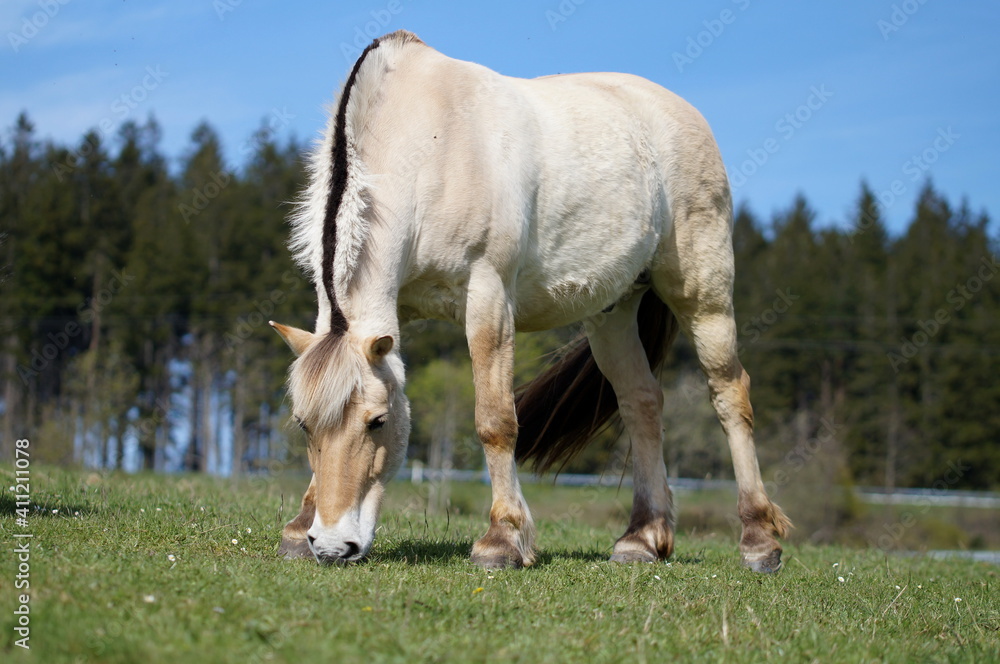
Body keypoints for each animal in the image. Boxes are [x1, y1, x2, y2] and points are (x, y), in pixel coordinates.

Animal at [269, 30, 791, 572]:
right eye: (303, 425)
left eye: (378, 421)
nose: (333, 545)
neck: (429, 143)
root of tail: (682, 111)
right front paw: (299, 529)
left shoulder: (488, 299)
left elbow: (495, 420)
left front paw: (502, 539)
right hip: (613, 312)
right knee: (641, 402)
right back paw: (642, 539)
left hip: (703, 295)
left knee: (730, 395)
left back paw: (759, 540)